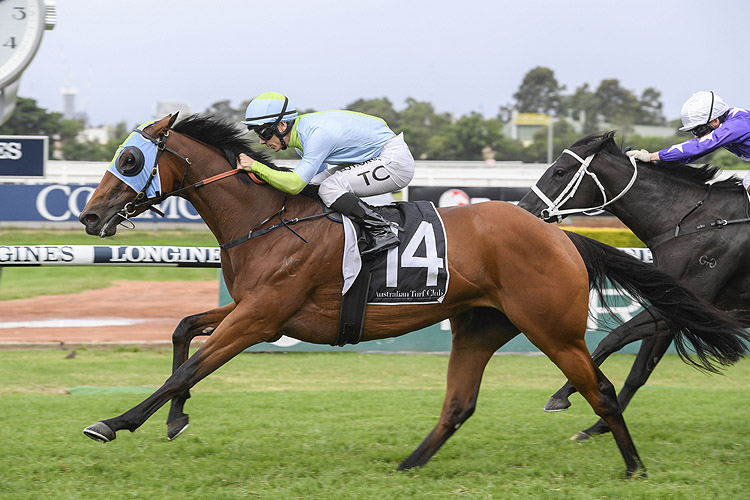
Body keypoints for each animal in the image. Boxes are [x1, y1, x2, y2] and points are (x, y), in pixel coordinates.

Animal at [520, 131, 748, 440]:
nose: (523, 210)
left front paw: (562, 395)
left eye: (560, 171)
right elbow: (640, 371)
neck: (693, 222)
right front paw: (598, 426)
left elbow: (613, 337)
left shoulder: (686, 305)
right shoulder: (672, 305)